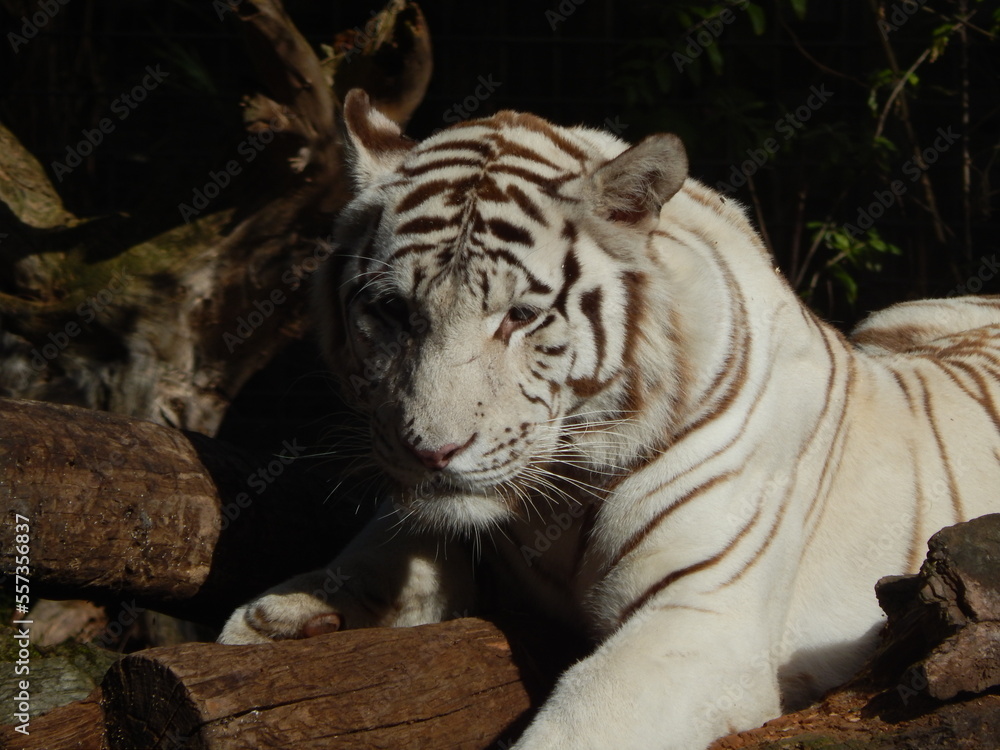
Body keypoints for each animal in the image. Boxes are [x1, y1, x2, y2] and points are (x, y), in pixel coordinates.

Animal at [219, 88, 1000, 750]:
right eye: (391, 311)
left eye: (520, 317)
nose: (432, 452)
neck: (553, 506)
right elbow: (387, 544)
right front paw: (284, 617)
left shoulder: (697, 618)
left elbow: (581, 724)